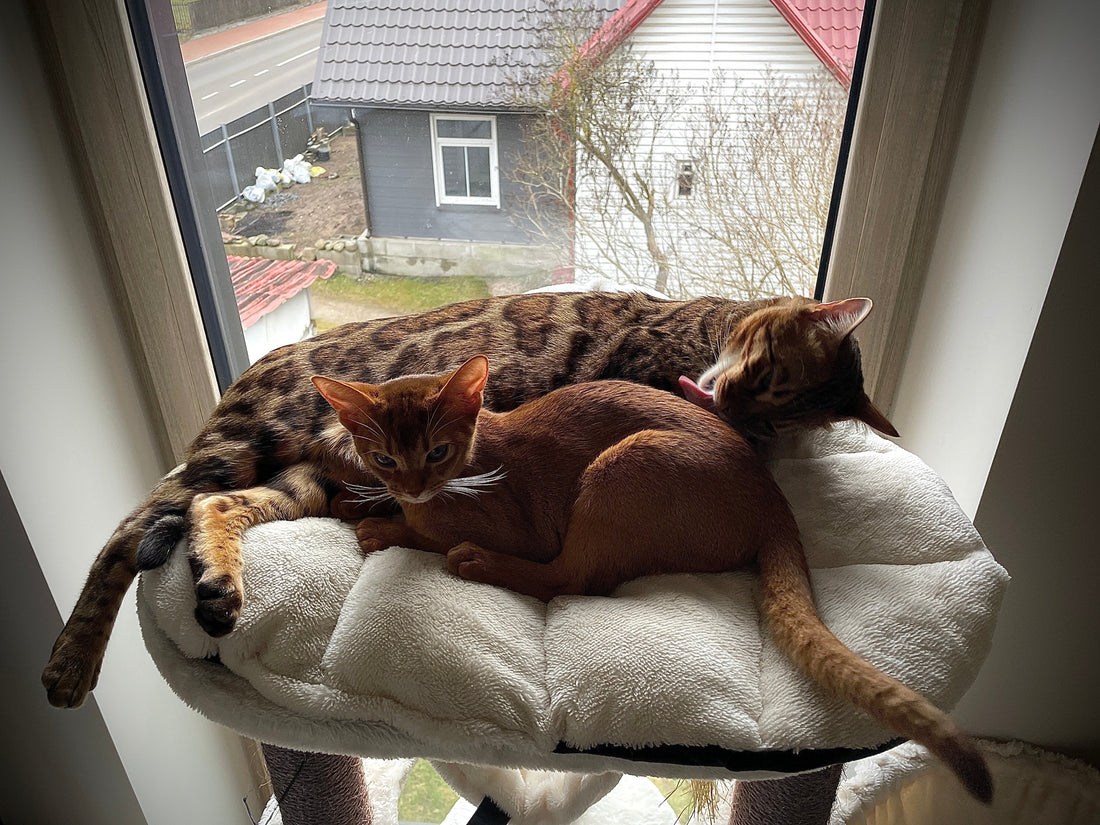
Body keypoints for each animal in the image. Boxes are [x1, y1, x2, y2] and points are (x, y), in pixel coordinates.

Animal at [42, 292, 897, 717]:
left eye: (776, 418)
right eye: (770, 375)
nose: (726, 405)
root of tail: (263, 360)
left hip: (295, 476)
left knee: (213, 509)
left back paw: (221, 584)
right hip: (245, 443)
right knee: (128, 532)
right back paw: (71, 659)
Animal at [314, 356, 994, 809]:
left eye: (437, 452)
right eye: (383, 457)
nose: (410, 485)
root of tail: (771, 496)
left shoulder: (513, 527)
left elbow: (424, 535)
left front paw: (382, 528)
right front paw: (355, 504)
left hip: (624, 462)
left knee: (570, 579)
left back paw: (473, 562)